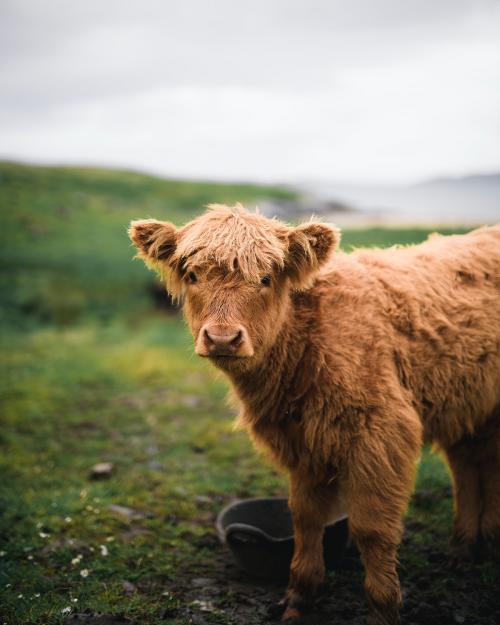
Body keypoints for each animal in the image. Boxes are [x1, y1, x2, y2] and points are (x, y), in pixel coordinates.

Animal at [130, 206, 500, 624]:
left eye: (265, 278)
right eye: (193, 275)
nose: (223, 338)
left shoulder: (380, 434)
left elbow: (371, 527)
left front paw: (383, 608)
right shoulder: (301, 443)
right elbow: (305, 517)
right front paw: (299, 597)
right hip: (469, 403)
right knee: (469, 464)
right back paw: (467, 546)